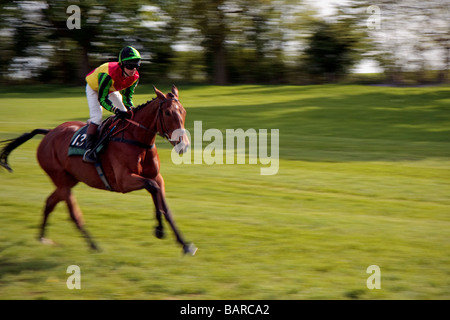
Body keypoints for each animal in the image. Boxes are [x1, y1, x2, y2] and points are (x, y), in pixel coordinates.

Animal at [0, 84, 197, 255]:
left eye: (183, 112)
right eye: (168, 112)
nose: (184, 145)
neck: (136, 138)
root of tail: (48, 132)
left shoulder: (156, 177)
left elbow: (164, 205)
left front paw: (185, 244)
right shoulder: (123, 181)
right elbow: (152, 188)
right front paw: (159, 230)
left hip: (69, 179)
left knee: (49, 203)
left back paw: (42, 238)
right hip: (60, 178)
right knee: (73, 214)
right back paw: (93, 245)